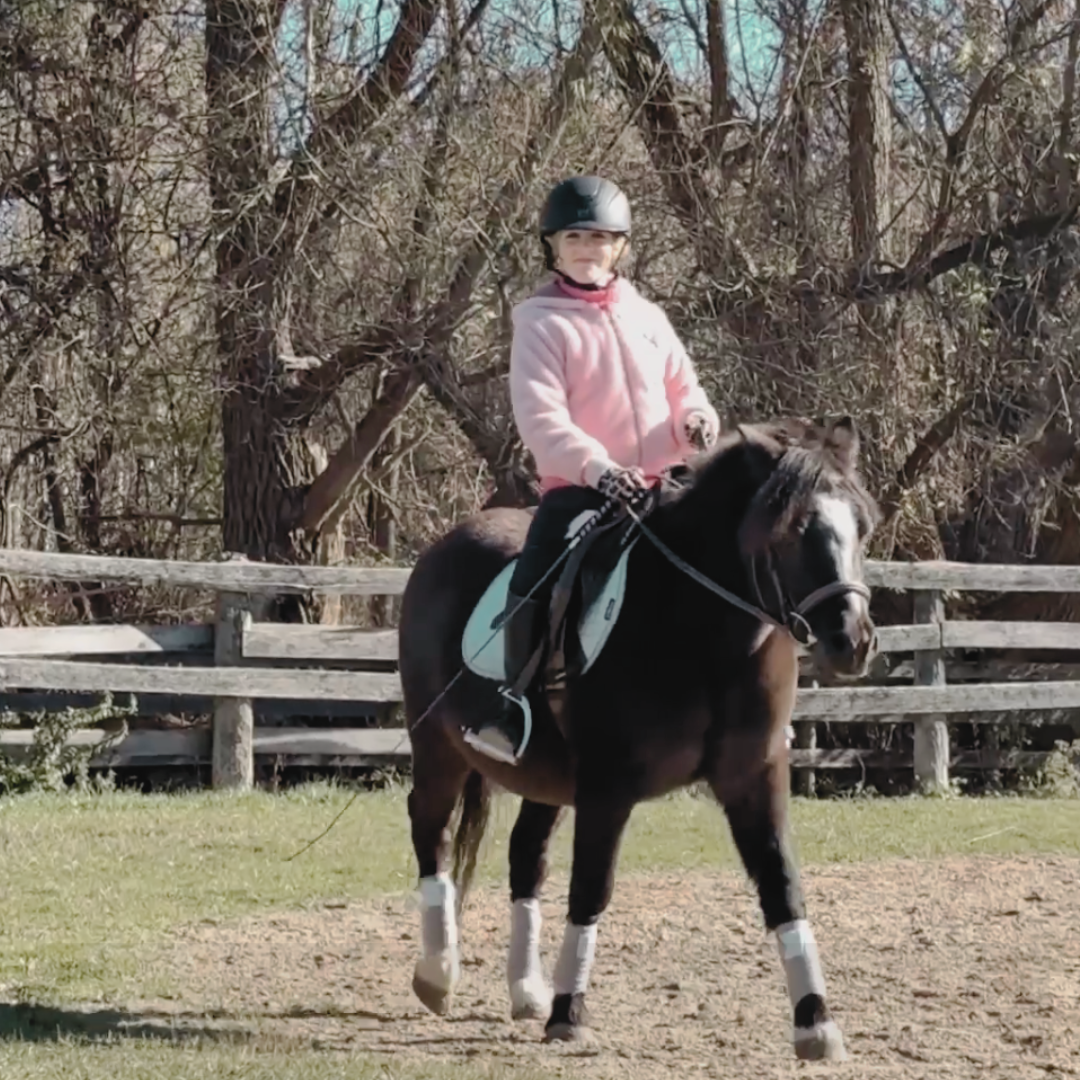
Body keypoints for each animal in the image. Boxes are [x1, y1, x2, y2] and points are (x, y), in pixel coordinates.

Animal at [397, 416, 879, 1060]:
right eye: (796, 530)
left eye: (861, 527)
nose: (853, 640)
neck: (698, 625)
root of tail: (444, 546)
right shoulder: (608, 785)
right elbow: (591, 888)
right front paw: (569, 1014)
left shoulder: (754, 775)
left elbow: (782, 884)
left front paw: (816, 1021)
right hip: (438, 747)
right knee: (433, 833)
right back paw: (438, 974)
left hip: (546, 777)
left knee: (527, 855)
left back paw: (526, 990)